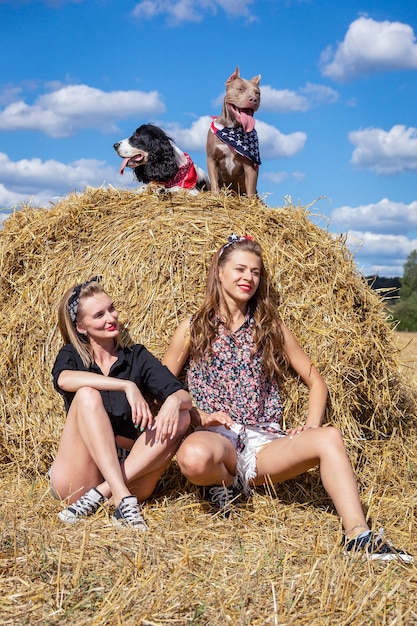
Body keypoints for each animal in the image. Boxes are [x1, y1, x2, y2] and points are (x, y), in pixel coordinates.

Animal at [207, 66, 262, 194]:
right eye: (240, 89)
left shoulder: (250, 165)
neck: (232, 128)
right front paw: (215, 196)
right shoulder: (211, 158)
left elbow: (251, 191)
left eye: (258, 93)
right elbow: (214, 184)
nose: (253, 99)